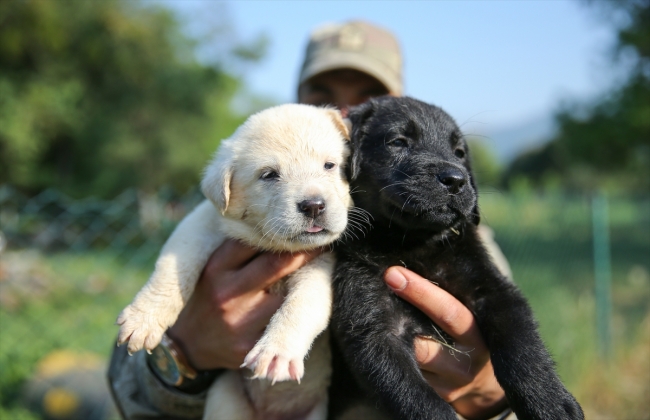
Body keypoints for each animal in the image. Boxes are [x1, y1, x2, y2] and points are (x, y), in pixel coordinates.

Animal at [115, 104, 350, 420]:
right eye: (269, 175)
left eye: (329, 166)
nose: (314, 206)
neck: (273, 245)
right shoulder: (201, 224)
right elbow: (173, 269)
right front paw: (143, 320)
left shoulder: (321, 266)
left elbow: (301, 306)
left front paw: (276, 353)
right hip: (225, 399)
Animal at [330, 97, 584, 418]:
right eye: (398, 141)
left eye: (460, 152)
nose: (455, 180)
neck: (411, 245)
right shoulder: (372, 326)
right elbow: (417, 398)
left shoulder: (492, 288)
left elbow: (522, 348)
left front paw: (550, 403)